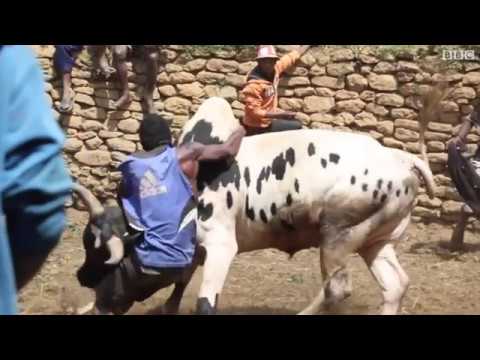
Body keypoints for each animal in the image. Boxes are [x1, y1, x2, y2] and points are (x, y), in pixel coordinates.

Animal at [179, 90, 446, 316]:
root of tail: (400, 157)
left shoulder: (220, 243)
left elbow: (205, 302)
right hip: (377, 241)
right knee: (394, 284)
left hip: (337, 234)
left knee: (337, 288)